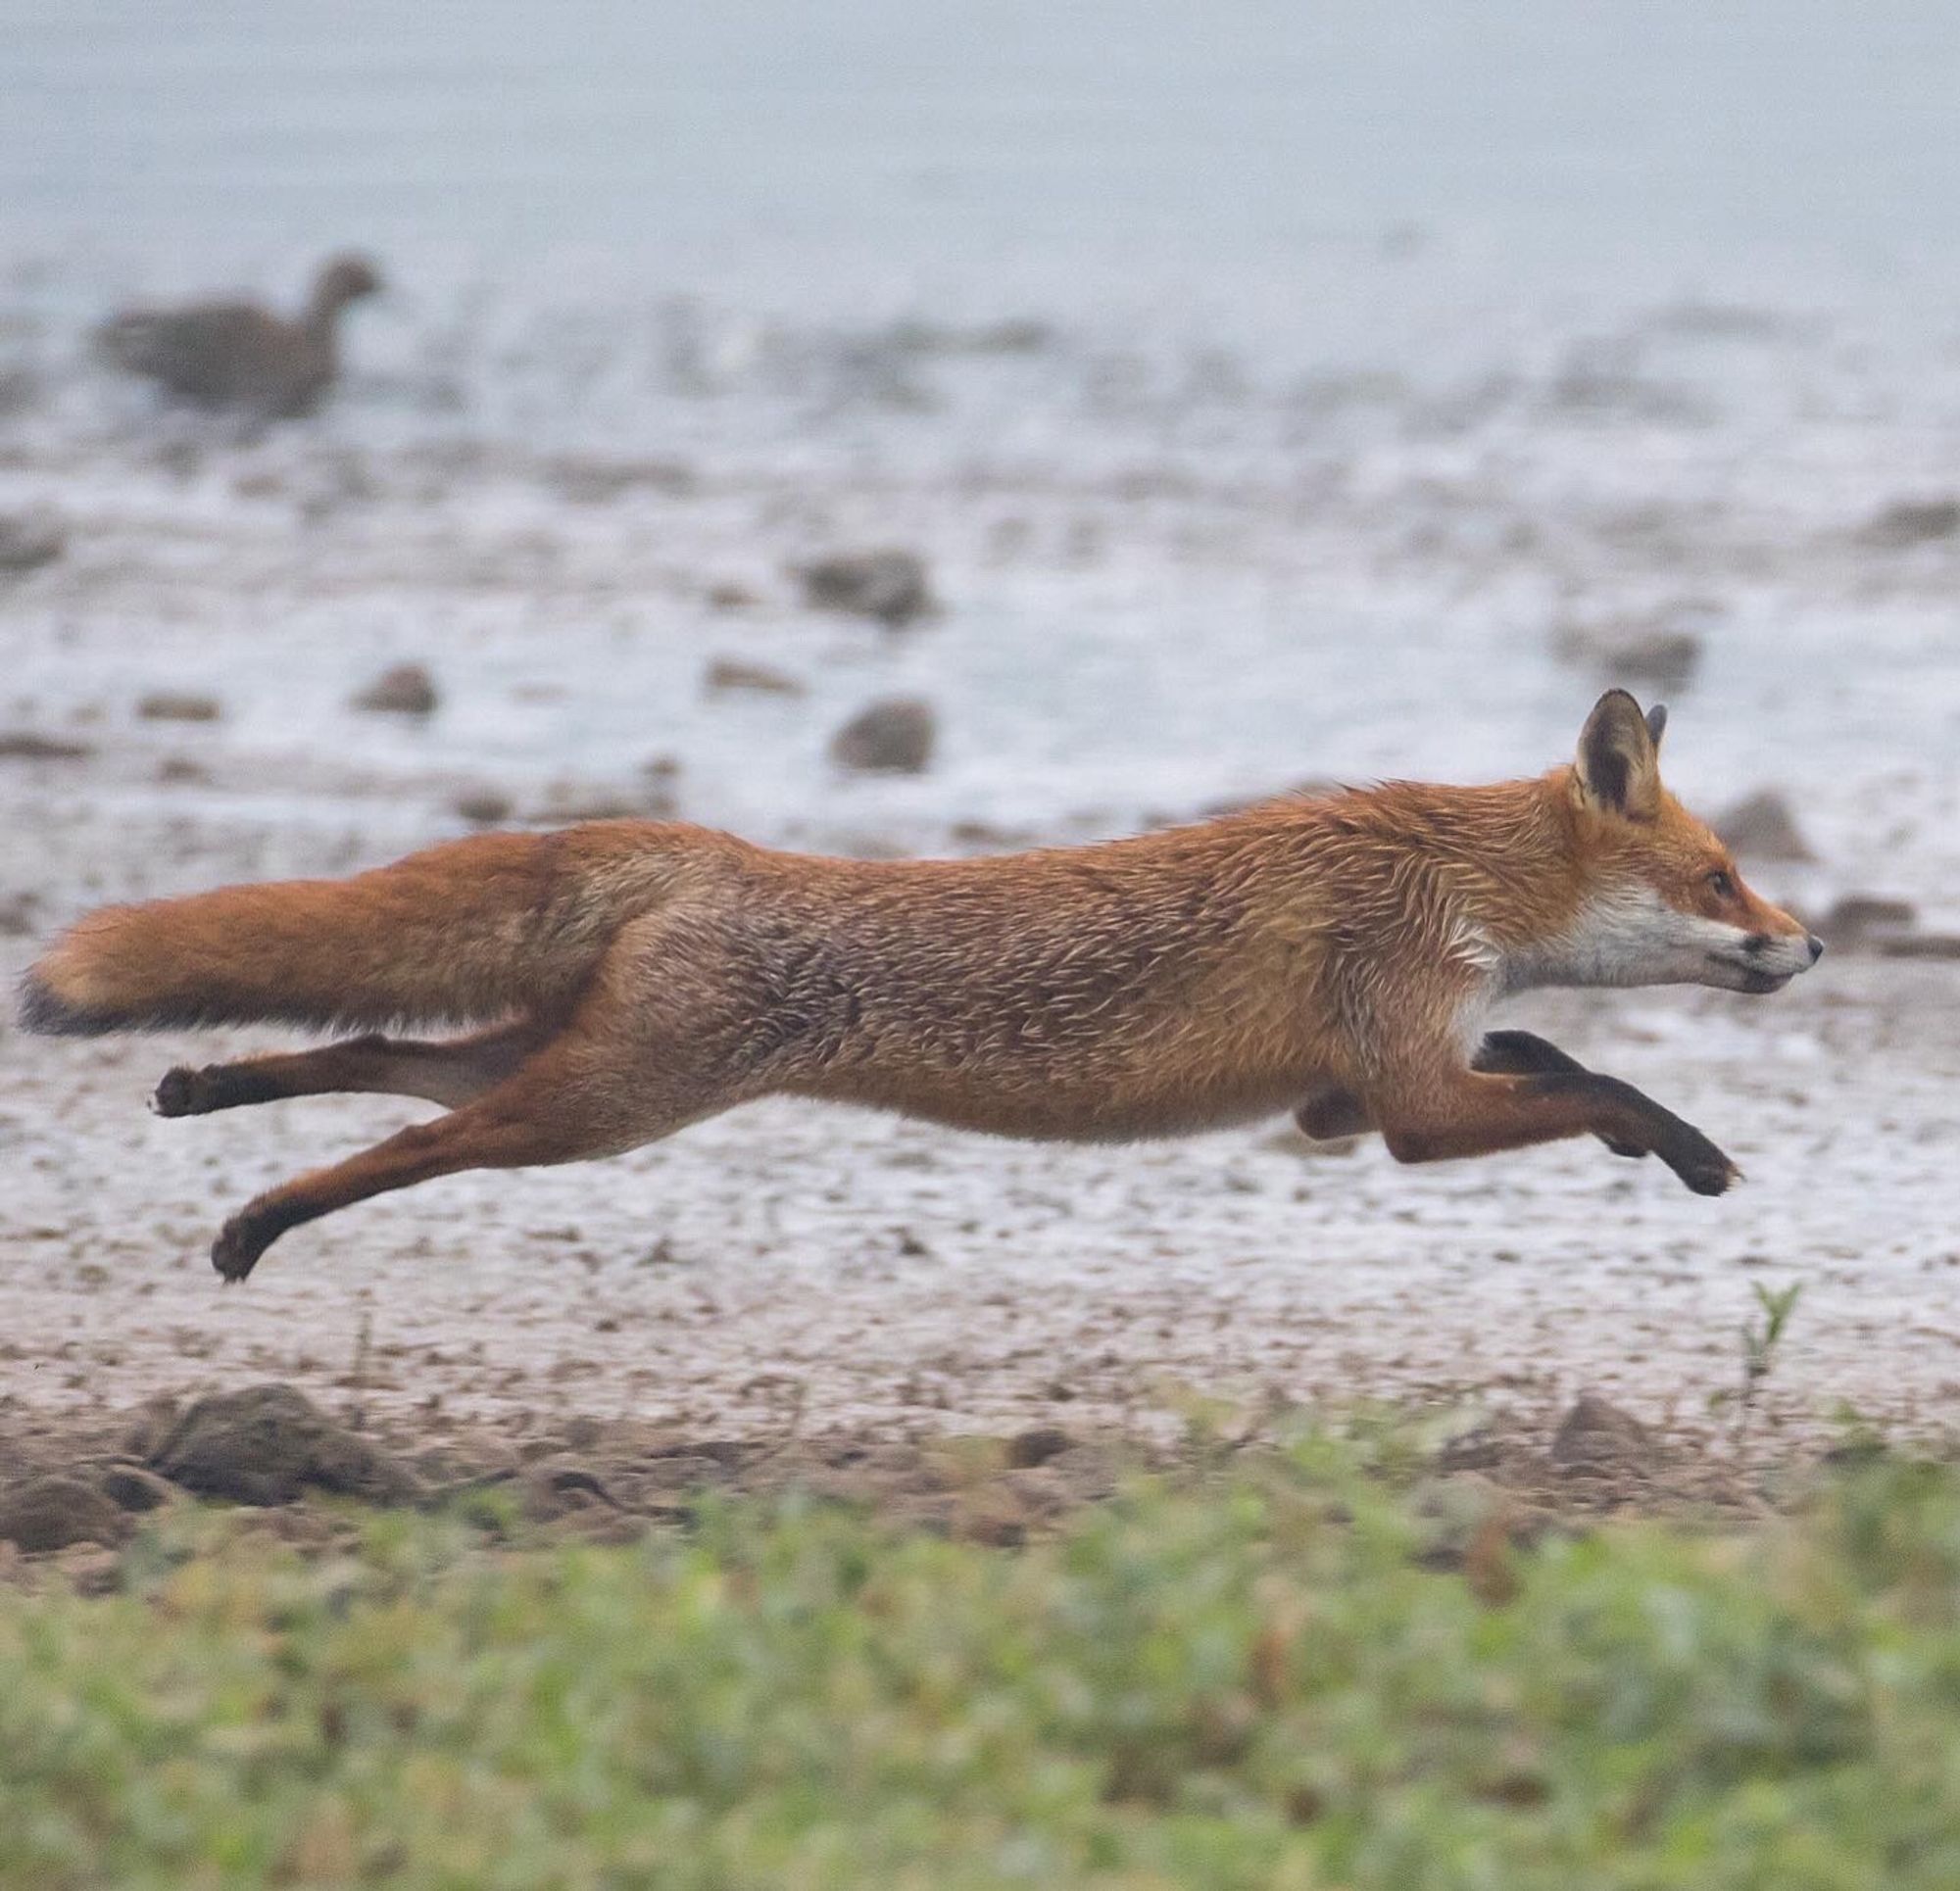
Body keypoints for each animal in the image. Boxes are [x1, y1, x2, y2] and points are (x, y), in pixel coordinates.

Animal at [19, 694, 1819, 1285]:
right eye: (1726, 879)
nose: (1812, 945)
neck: (1450, 879)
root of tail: (711, 848)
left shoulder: (1350, 1092)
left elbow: (1545, 1045)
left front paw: (1650, 1137)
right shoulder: (1409, 1112)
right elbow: (1586, 1073)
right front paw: (1684, 1146)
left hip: (576, 1073)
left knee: (387, 1050)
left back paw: (200, 1095)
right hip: (600, 1106)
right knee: (404, 1139)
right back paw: (257, 1222)